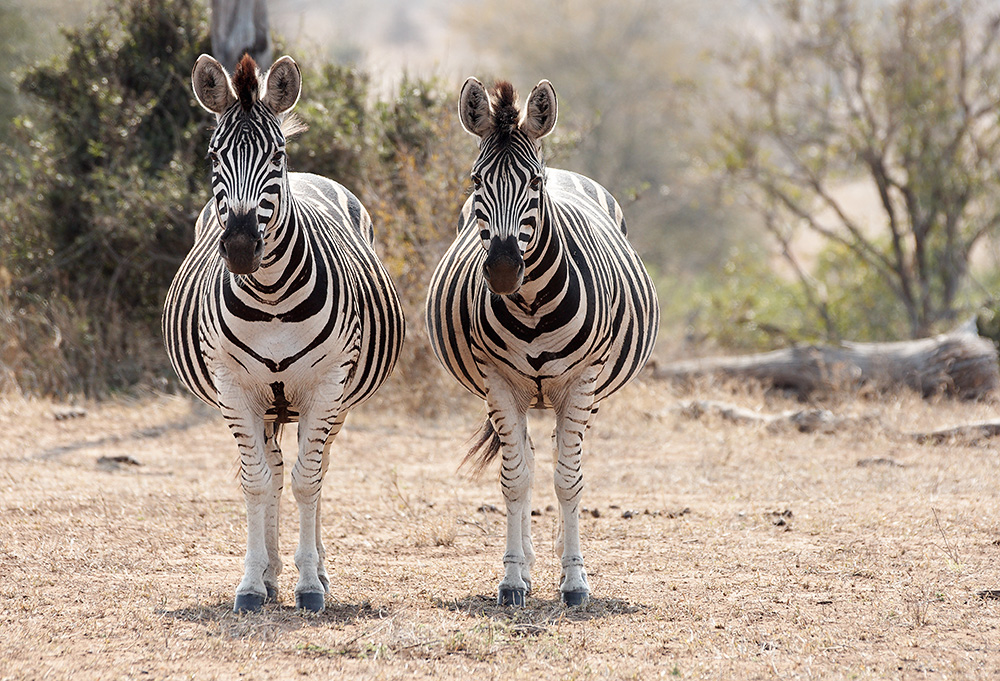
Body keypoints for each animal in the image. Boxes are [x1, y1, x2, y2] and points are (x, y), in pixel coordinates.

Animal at [162, 55, 404, 612]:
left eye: (277, 155)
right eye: (213, 155)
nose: (241, 247)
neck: (271, 296)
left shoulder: (329, 385)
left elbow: (307, 481)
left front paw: (311, 584)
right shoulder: (233, 386)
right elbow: (256, 482)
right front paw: (253, 584)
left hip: (335, 401)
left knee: (315, 468)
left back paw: (312, 570)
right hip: (265, 403)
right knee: (271, 471)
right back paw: (271, 573)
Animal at [426, 78, 660, 604]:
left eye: (534, 184)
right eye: (476, 182)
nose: (502, 270)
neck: (531, 304)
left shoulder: (581, 381)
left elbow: (569, 480)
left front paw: (574, 579)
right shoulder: (497, 381)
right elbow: (516, 479)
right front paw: (514, 577)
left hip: (585, 393)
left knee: (561, 460)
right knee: (529, 462)